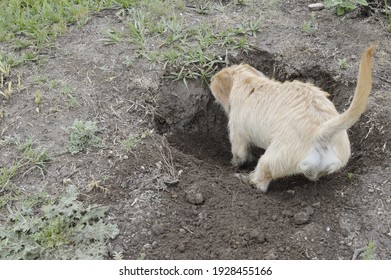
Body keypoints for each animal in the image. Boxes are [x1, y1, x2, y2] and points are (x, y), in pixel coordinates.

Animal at [211, 47, 374, 192]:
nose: (211, 77)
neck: (249, 81)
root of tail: (321, 132)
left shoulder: (237, 132)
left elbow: (239, 154)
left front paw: (234, 164)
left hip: (273, 158)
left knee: (261, 180)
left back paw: (246, 179)